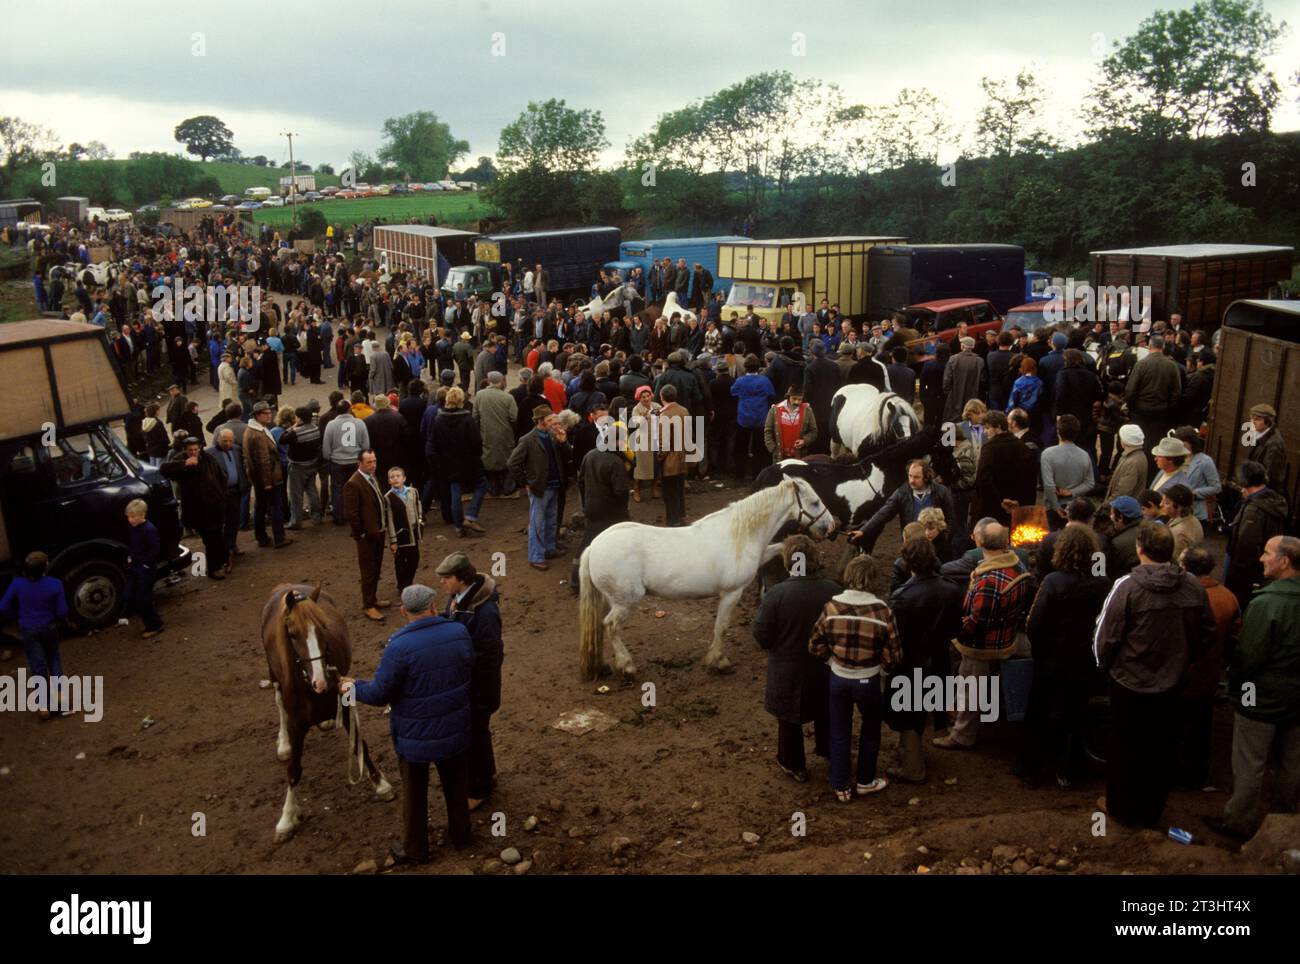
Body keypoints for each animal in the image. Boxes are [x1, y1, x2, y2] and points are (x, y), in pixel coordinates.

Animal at [258, 582, 390, 847]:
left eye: (323, 627)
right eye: (292, 633)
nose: (322, 682)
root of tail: (287, 586)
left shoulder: (345, 706)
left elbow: (360, 745)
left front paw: (380, 783)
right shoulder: (297, 724)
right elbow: (293, 770)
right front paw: (287, 818)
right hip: (273, 674)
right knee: (277, 701)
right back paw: (283, 744)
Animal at [577, 480, 832, 685]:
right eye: (815, 502)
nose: (830, 526)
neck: (740, 535)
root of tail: (594, 546)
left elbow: (778, 547)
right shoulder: (732, 593)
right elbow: (721, 627)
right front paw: (718, 661)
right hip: (625, 602)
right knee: (610, 626)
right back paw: (627, 666)